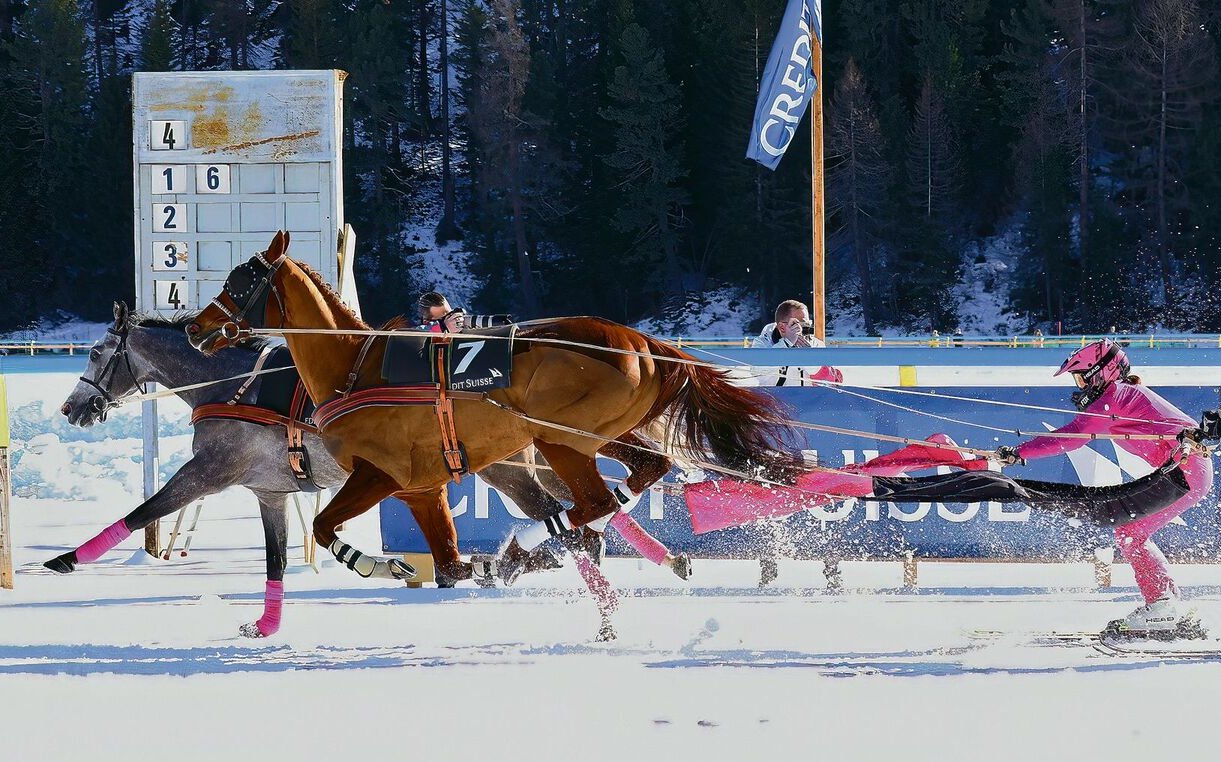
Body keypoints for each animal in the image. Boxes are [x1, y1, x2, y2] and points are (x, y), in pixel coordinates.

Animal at [180, 232, 791, 583]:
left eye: (240, 281)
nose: (195, 327)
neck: (352, 364)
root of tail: (639, 340)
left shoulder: (379, 472)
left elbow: (330, 527)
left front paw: (378, 562)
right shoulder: (420, 487)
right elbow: (447, 558)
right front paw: (456, 565)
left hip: (560, 438)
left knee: (591, 503)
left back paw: (529, 546)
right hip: (598, 433)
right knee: (643, 470)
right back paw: (542, 544)